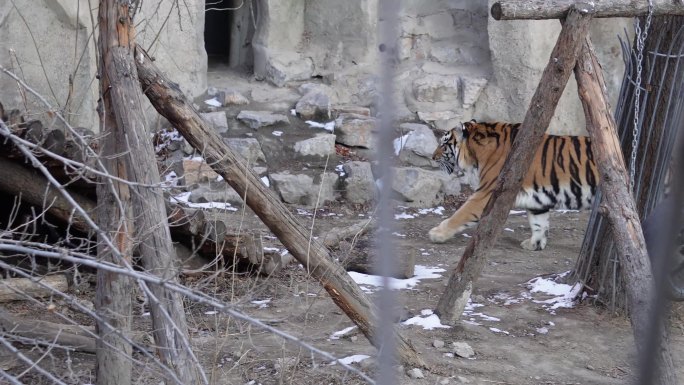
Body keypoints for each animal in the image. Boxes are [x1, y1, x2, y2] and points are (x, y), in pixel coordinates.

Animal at [432, 121, 600, 250]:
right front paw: (534, 244)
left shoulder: (487, 193)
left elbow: (460, 214)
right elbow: (539, 223)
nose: (432, 157)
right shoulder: (538, 199)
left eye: (443, 144)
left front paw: (437, 233)